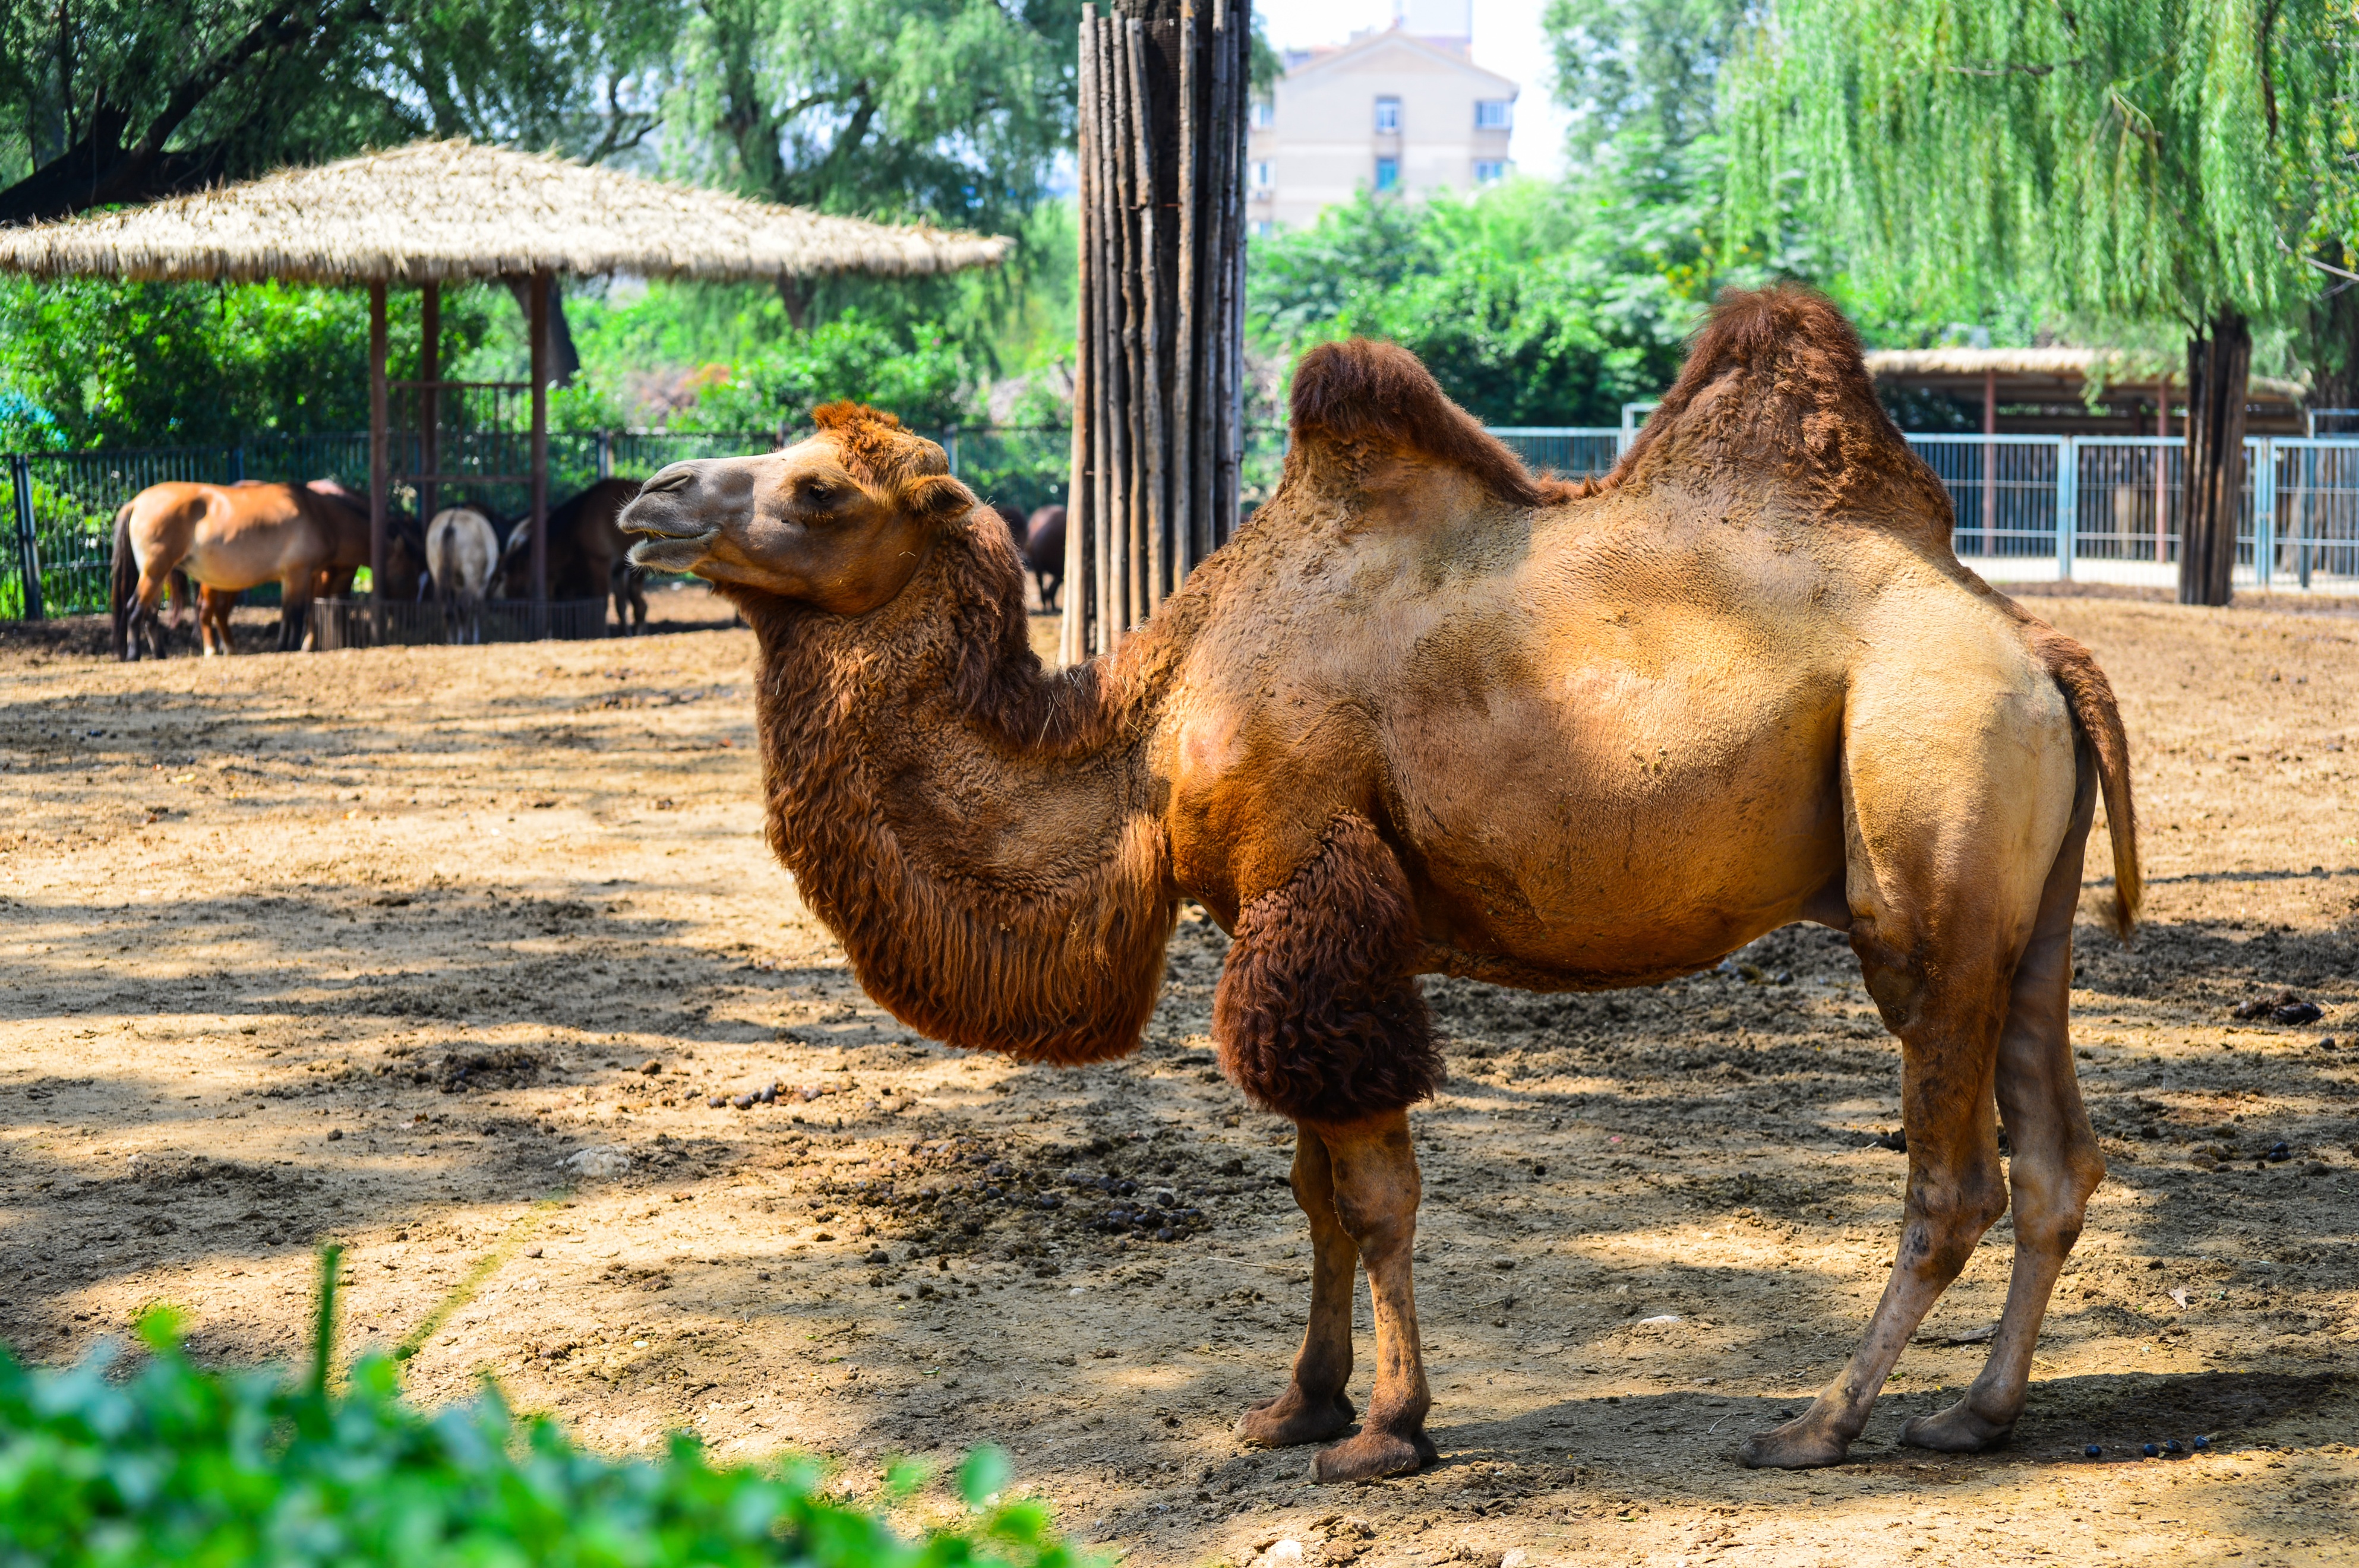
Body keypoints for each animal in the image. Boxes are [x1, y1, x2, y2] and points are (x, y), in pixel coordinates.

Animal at [110, 473, 365, 650]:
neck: (320, 515)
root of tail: (136, 502)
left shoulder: (293, 577)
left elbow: (287, 613)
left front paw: (283, 646)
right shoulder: (299, 573)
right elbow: (295, 613)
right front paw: (293, 647)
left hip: (156, 574)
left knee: (150, 615)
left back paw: (161, 653)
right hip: (155, 572)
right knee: (135, 610)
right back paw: (134, 655)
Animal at [429, 507, 502, 641]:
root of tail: (451, 522)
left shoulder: (458, 584)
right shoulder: (482, 584)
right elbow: (476, 609)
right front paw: (475, 639)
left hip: (437, 573)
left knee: (448, 610)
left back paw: (452, 641)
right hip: (471, 577)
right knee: (463, 607)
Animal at [623, 290, 2142, 1481]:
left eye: (818, 489)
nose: (648, 499)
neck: (1146, 726)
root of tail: (2040, 647)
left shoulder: (1313, 890)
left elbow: (1372, 1193)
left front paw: (1385, 1430)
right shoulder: (1288, 919)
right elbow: (1309, 1183)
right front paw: (1295, 1403)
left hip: (1923, 841)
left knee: (1954, 1176)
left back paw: (1818, 1424)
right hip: (2025, 912)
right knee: (2057, 1158)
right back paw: (1975, 1414)